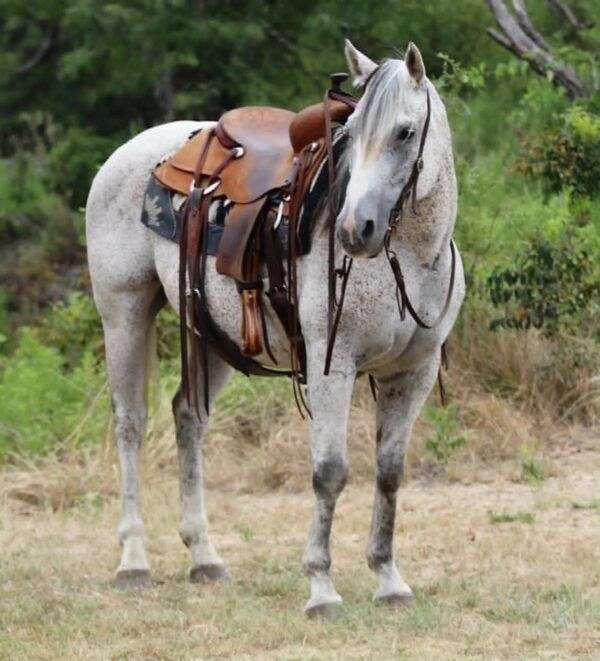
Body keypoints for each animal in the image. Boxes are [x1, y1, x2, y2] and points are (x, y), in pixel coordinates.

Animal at [86, 39, 465, 616]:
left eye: (404, 132)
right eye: (352, 132)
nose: (355, 230)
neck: (410, 258)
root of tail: (129, 153)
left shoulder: (414, 373)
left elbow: (390, 473)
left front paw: (388, 579)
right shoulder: (333, 367)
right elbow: (330, 471)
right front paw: (321, 587)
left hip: (215, 335)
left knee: (188, 417)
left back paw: (204, 557)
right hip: (123, 311)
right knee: (131, 423)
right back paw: (133, 560)